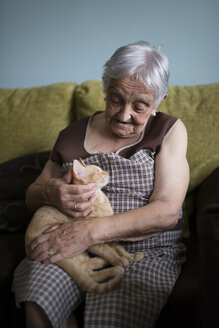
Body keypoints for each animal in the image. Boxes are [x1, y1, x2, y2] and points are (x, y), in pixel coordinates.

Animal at [25, 158, 144, 294]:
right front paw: (118, 260)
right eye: (98, 171)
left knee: (88, 266)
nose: (107, 172)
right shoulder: (91, 240)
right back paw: (115, 268)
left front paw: (130, 256)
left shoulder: (107, 233)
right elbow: (108, 251)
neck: (99, 199)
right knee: (89, 274)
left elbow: (119, 248)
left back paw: (106, 262)